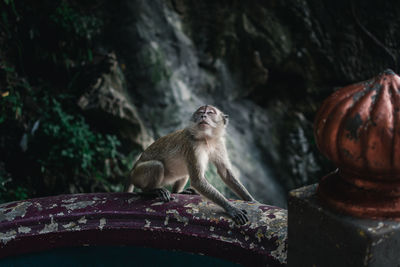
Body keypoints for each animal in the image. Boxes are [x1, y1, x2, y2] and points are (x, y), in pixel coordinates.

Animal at [126, 105, 256, 225]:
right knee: (157, 165)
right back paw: (150, 191)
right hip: (138, 174)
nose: (203, 116)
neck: (207, 138)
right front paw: (231, 209)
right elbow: (198, 181)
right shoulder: (192, 145)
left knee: (184, 172)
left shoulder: (218, 143)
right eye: (200, 112)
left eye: (210, 112)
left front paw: (251, 199)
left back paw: (178, 192)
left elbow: (224, 172)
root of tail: (132, 170)